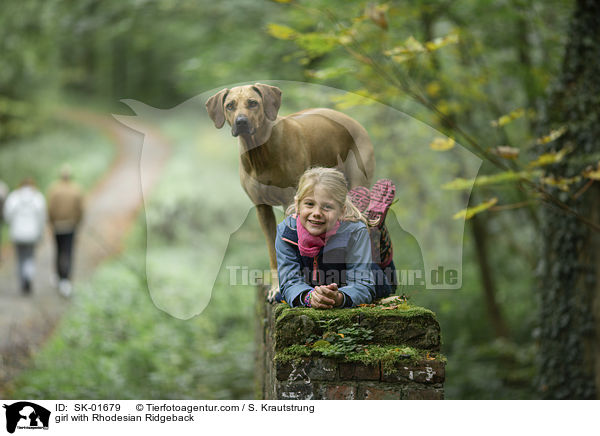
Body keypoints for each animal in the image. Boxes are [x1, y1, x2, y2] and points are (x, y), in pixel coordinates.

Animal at [207, 83, 376, 290]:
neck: (260, 152)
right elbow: (273, 249)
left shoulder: (290, 202)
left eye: (253, 103)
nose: (241, 122)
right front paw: (276, 286)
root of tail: (354, 121)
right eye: (230, 106)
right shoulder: (261, 208)